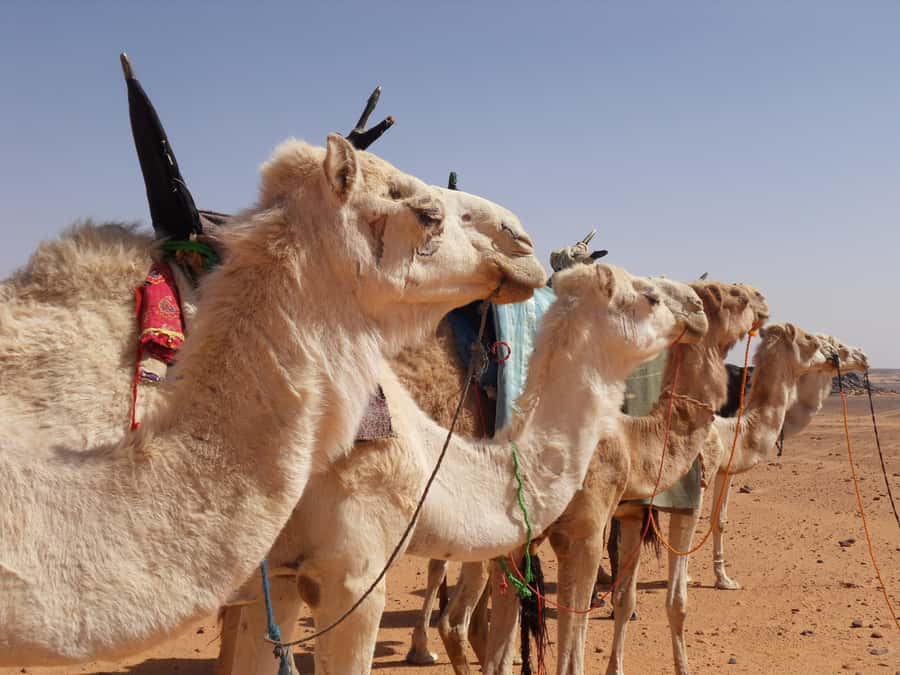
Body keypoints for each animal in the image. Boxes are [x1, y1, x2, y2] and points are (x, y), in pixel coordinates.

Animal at [610, 323, 836, 675]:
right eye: (811, 339)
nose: (836, 356)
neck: (732, 431)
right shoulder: (693, 493)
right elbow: (677, 596)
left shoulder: (641, 509)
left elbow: (627, 596)